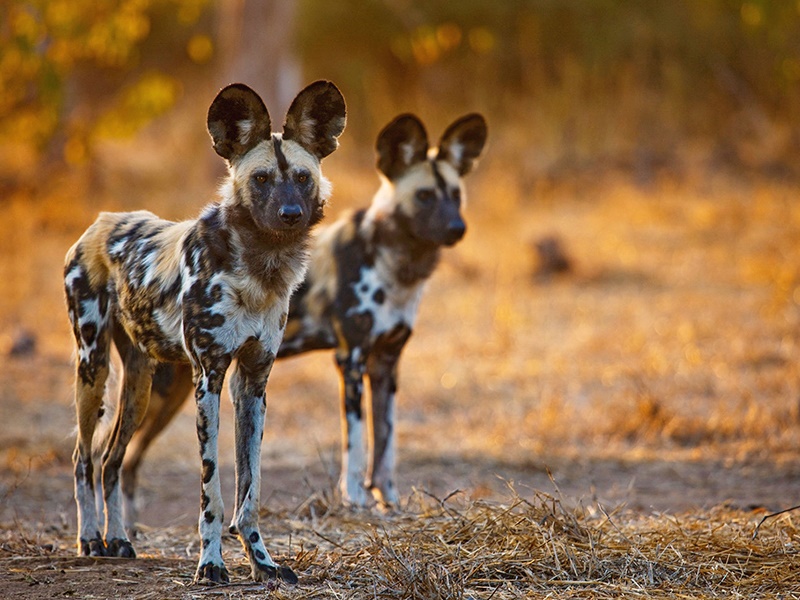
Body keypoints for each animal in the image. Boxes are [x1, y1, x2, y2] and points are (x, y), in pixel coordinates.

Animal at [64, 82, 346, 584]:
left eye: (301, 177)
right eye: (261, 179)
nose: (290, 213)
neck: (259, 268)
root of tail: (101, 221)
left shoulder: (253, 382)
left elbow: (250, 492)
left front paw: (262, 562)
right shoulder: (209, 379)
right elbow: (212, 491)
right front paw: (211, 564)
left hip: (139, 387)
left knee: (111, 460)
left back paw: (119, 540)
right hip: (92, 368)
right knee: (83, 458)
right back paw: (91, 539)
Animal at [113, 113, 488, 520]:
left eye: (456, 195)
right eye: (424, 196)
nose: (457, 229)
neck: (393, 264)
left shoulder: (386, 364)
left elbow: (385, 445)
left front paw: (389, 502)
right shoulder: (351, 360)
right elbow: (357, 445)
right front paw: (356, 500)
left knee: (127, 462)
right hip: (164, 391)